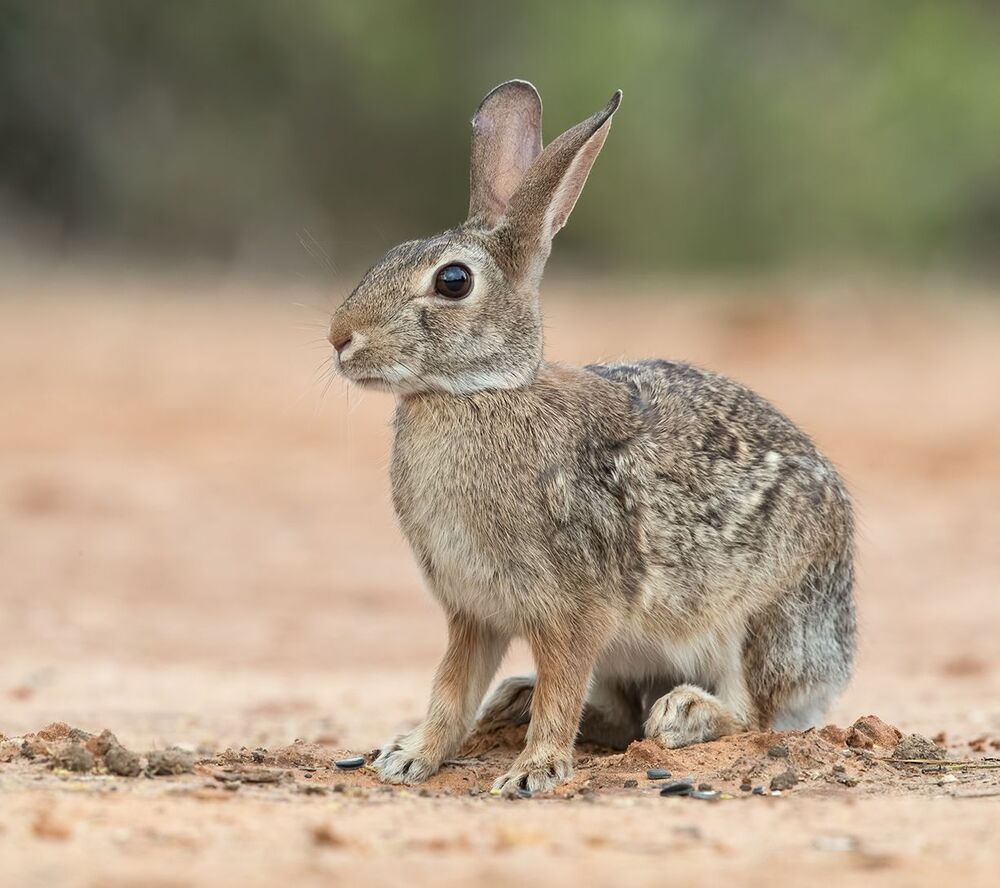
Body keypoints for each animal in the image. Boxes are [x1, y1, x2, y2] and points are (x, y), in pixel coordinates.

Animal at [327, 80, 856, 794]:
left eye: (453, 281)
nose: (339, 339)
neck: (480, 393)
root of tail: (836, 660)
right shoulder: (472, 613)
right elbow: (450, 690)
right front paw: (410, 756)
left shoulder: (575, 611)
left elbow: (561, 691)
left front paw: (534, 772)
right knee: (615, 713)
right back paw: (513, 700)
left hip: (759, 616)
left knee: (751, 711)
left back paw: (683, 714)